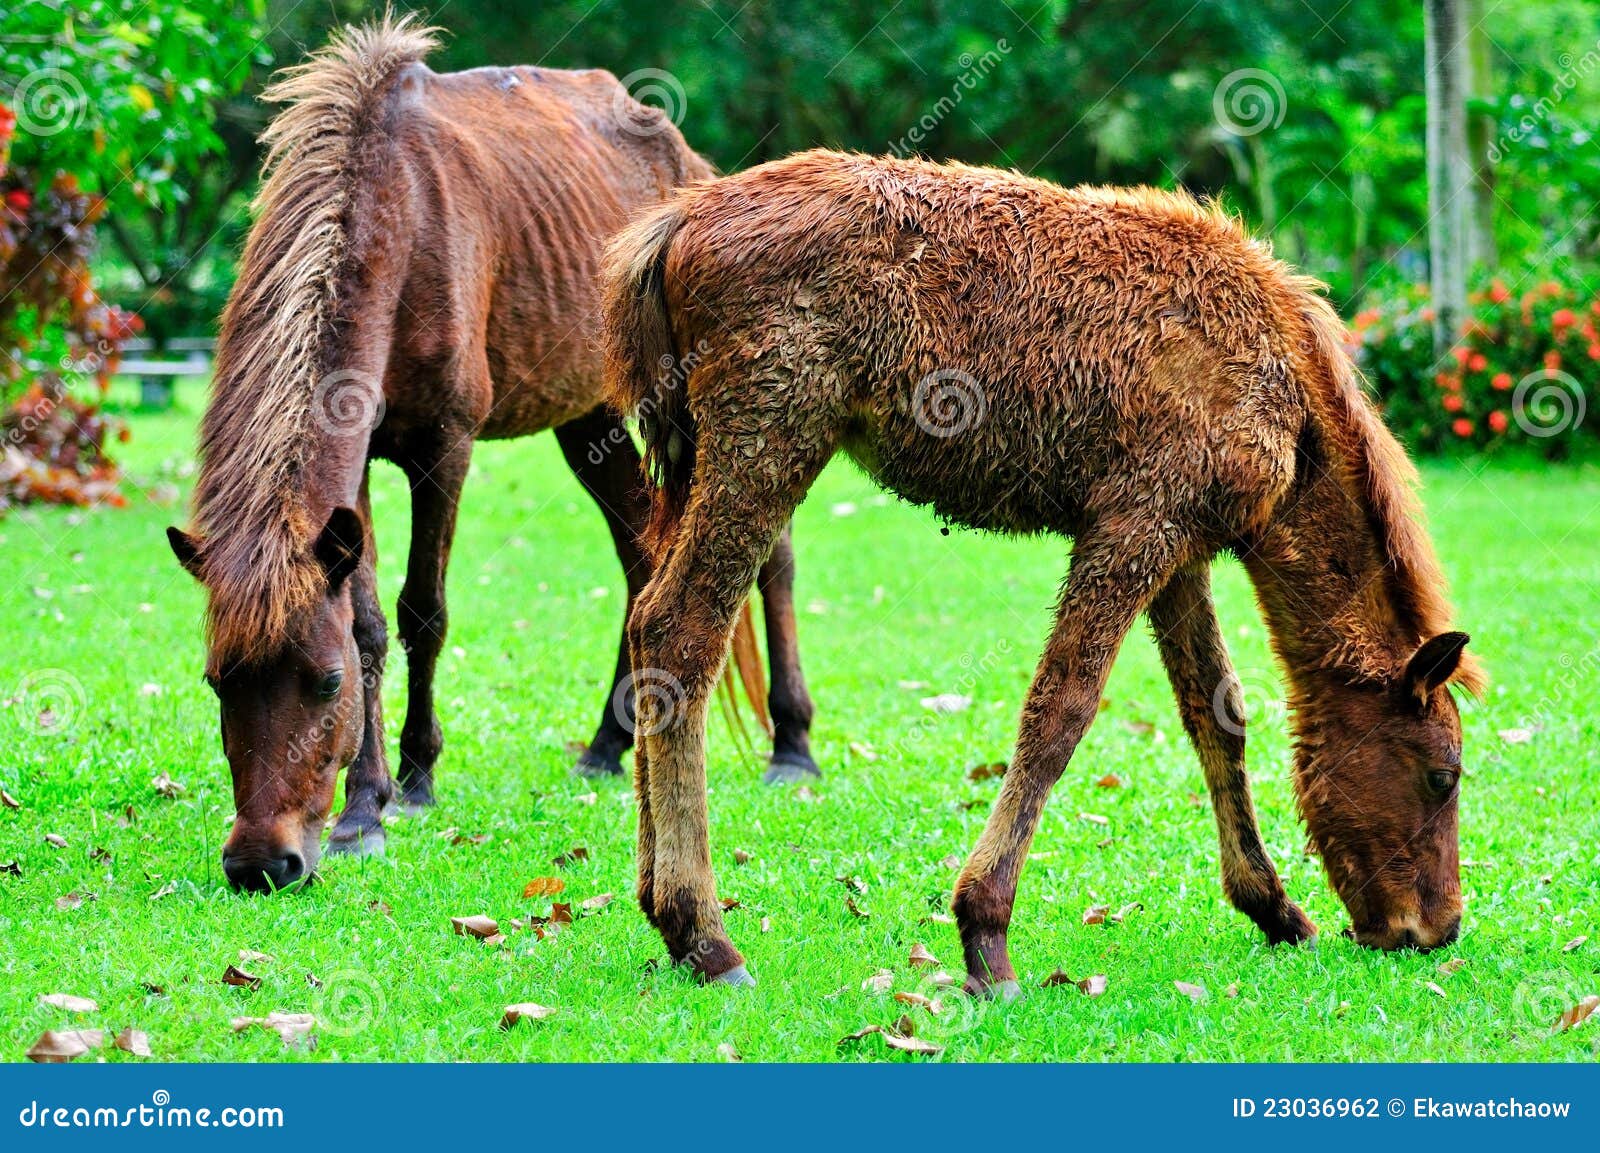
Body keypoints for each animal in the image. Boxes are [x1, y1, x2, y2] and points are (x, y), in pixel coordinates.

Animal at [164, 17, 819, 894]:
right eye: (217, 679)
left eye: (323, 683)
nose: (261, 863)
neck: (393, 218)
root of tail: (689, 166)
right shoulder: (355, 466)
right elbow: (368, 621)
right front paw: (365, 806)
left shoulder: (444, 446)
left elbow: (423, 611)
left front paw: (414, 777)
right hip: (591, 419)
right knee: (642, 557)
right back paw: (610, 745)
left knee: (769, 556)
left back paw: (793, 746)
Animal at [600, 148, 1483, 992]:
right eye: (1442, 774)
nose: (1436, 928)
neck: (1287, 400)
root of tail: (675, 226)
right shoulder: (1136, 520)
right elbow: (1061, 710)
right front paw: (985, 933)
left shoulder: (1182, 548)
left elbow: (1217, 713)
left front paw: (1273, 906)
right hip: (769, 436)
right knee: (682, 630)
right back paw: (704, 931)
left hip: (694, 458)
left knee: (646, 621)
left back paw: (659, 909)